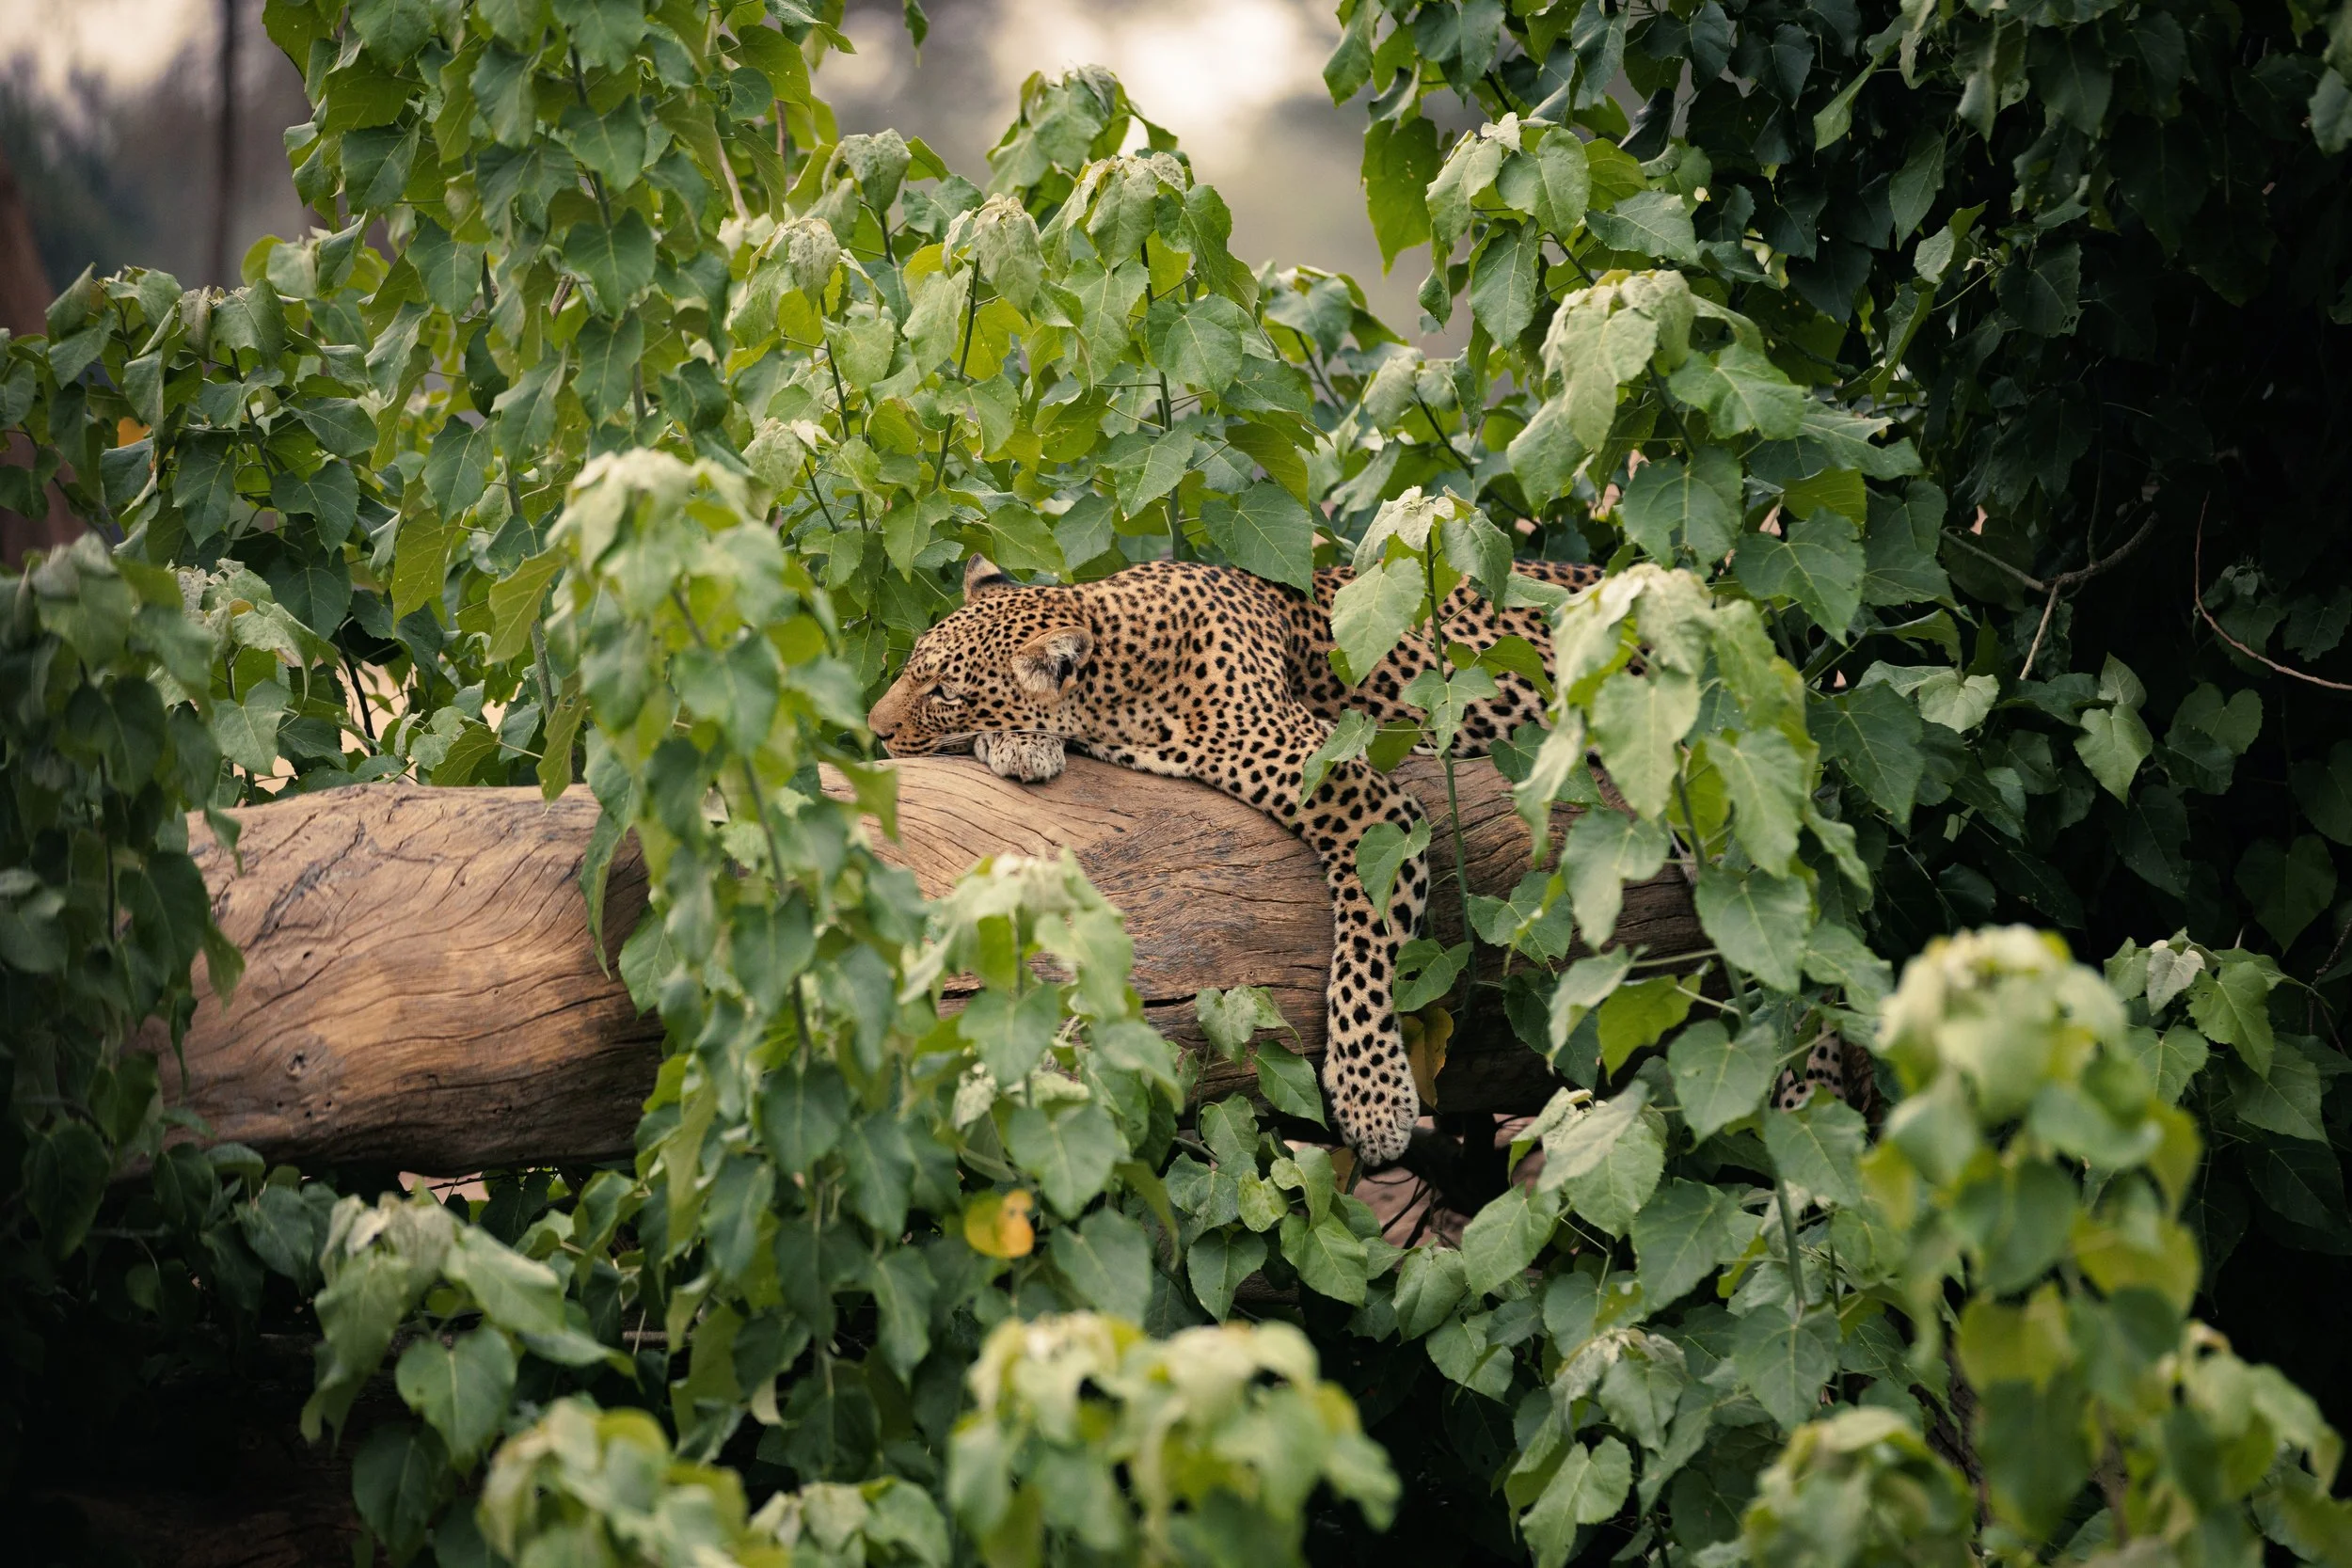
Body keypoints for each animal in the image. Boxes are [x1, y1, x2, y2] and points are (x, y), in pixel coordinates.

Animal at [867, 554, 1844, 1163]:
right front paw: (1021, 745)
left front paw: (1375, 1102)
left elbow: (1369, 950)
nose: (874, 732)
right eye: (910, 667)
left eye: (942, 686)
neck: (1122, 672)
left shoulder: (1369, 799)